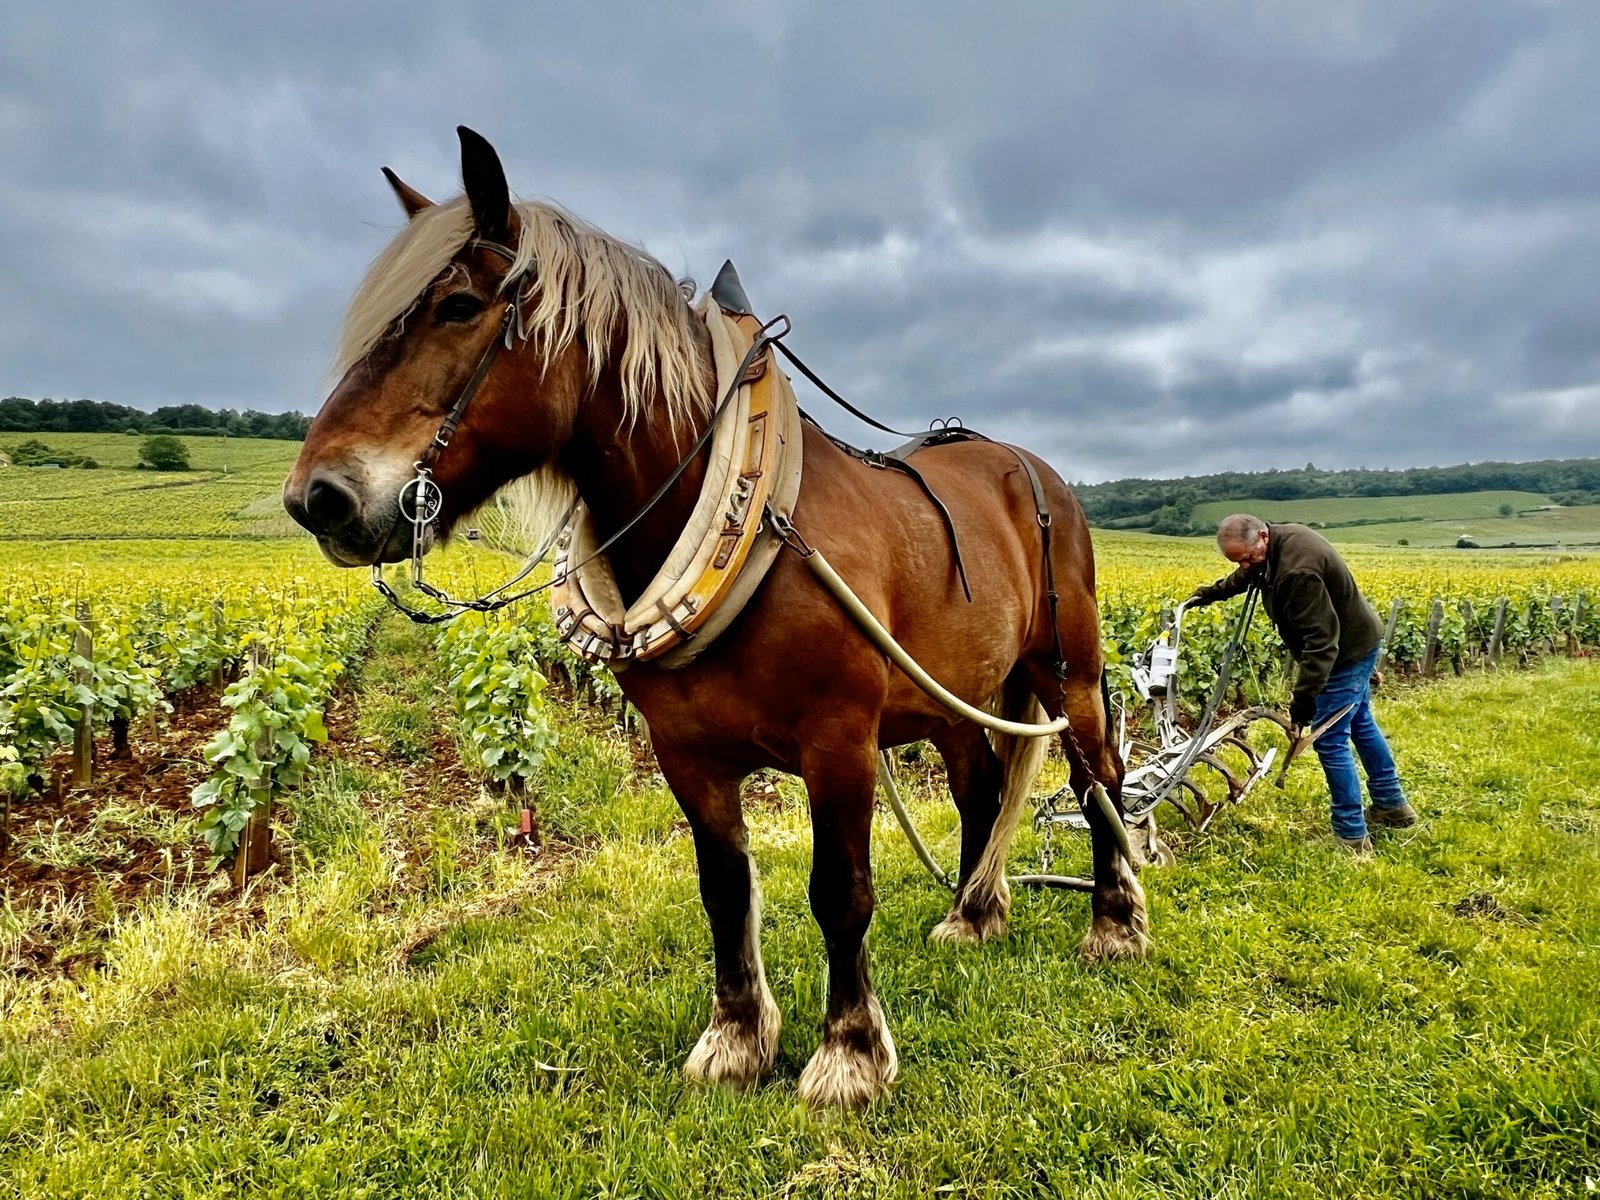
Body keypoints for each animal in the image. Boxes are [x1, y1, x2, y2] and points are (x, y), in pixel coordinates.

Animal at [284, 127, 1149, 1109]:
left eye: (459, 306)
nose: (318, 498)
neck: (749, 528)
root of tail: (1033, 472)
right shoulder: (687, 755)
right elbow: (723, 888)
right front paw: (736, 1040)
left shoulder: (840, 743)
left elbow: (840, 891)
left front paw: (849, 1053)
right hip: (956, 697)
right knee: (981, 790)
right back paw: (973, 914)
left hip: (1069, 671)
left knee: (1098, 779)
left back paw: (1114, 922)